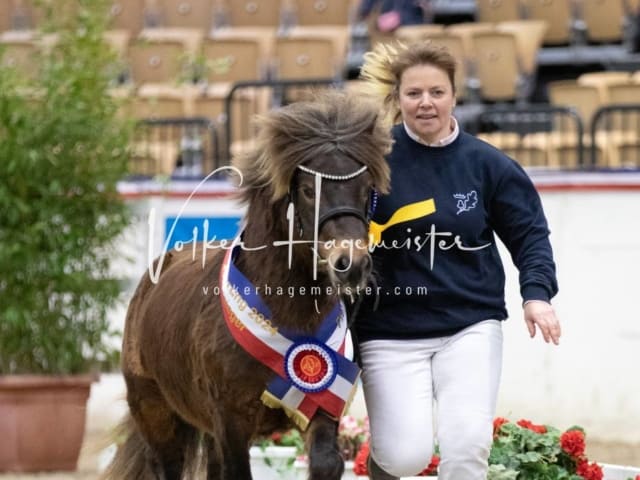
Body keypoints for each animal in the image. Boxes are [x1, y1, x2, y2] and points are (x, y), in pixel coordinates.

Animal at [104, 91, 390, 480]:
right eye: (306, 191)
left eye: (367, 190)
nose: (352, 265)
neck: (287, 316)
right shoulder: (230, 422)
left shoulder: (322, 405)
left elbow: (326, 463)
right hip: (155, 412)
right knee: (168, 465)